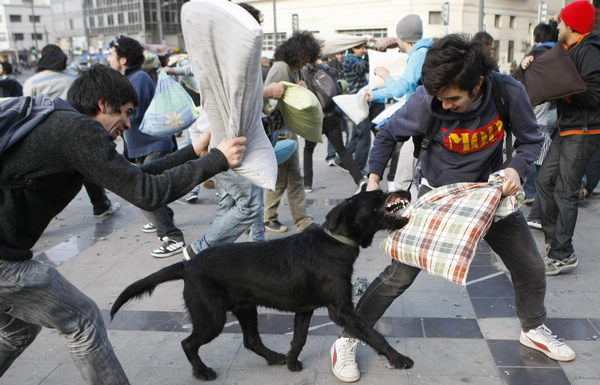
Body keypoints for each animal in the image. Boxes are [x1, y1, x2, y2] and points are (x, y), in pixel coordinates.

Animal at [111, 189, 412, 378]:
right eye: (380, 195)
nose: (407, 192)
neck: (335, 241)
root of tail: (188, 266)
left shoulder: (305, 309)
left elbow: (299, 338)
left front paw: (291, 362)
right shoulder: (341, 310)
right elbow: (373, 334)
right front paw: (399, 360)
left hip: (245, 308)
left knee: (251, 340)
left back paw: (275, 358)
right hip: (211, 317)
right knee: (188, 343)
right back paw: (202, 372)